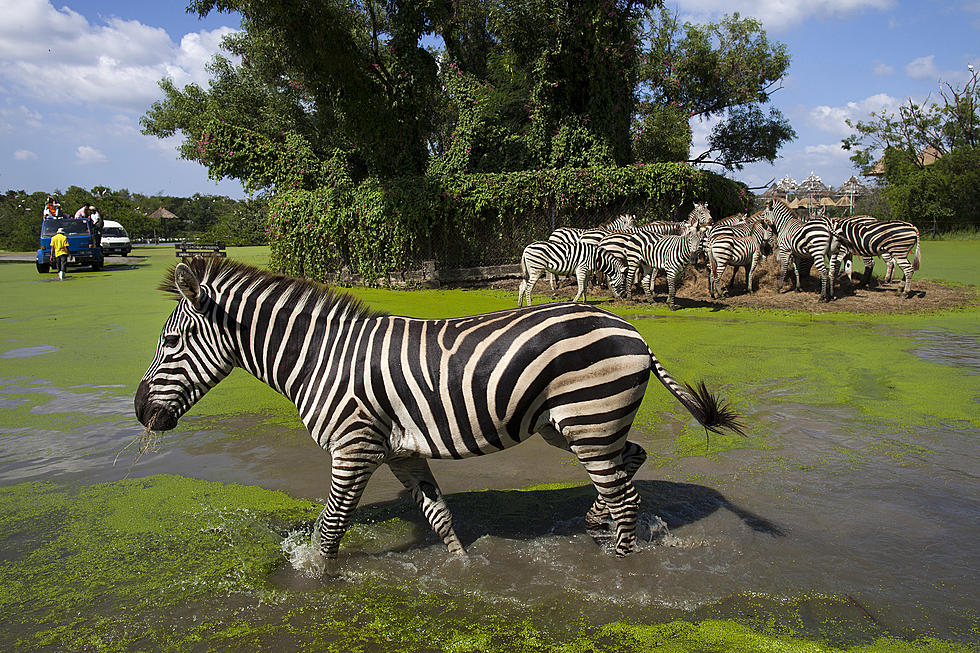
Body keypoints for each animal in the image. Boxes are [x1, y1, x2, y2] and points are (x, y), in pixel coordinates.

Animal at [132, 258, 744, 572]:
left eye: (170, 342)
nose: (139, 411)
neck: (320, 358)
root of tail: (632, 328)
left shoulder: (354, 447)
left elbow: (330, 529)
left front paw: (314, 580)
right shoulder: (400, 453)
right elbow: (440, 518)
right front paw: (465, 571)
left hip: (590, 418)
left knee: (626, 496)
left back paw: (619, 564)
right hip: (571, 425)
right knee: (629, 464)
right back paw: (594, 525)